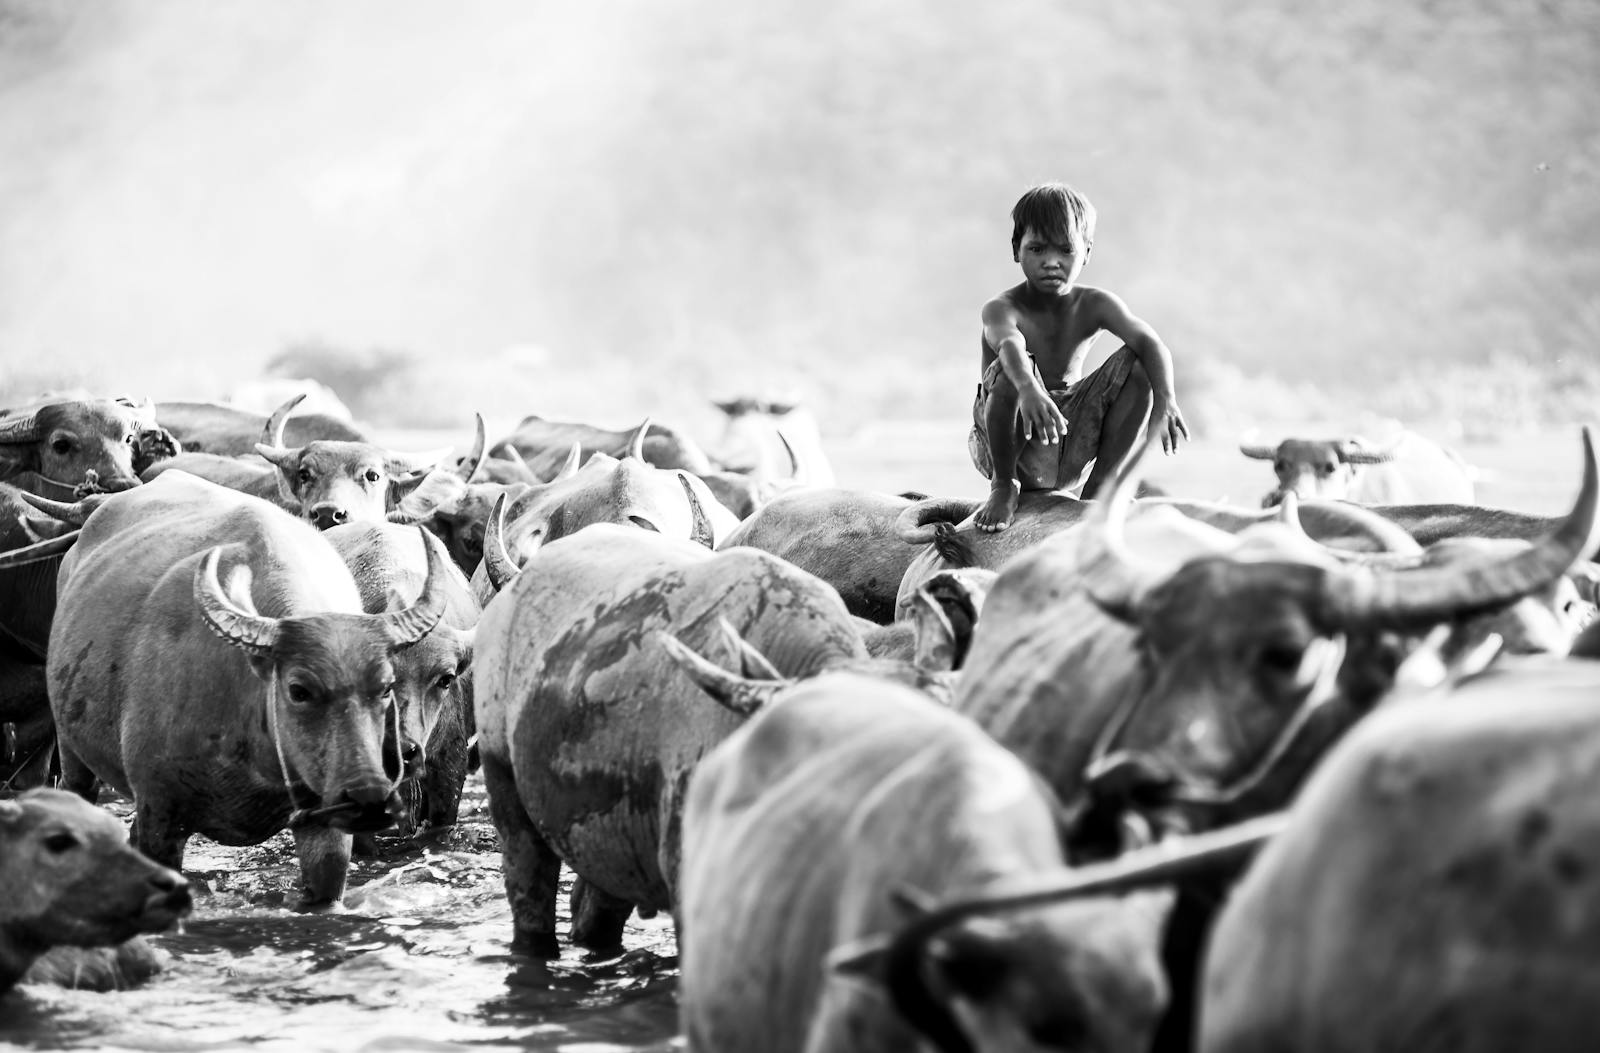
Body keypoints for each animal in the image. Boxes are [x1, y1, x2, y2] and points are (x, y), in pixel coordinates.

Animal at [50, 470, 451, 908]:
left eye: (385, 687)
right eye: (298, 689)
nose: (367, 797)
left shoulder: (324, 825)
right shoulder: (161, 812)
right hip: (72, 751)